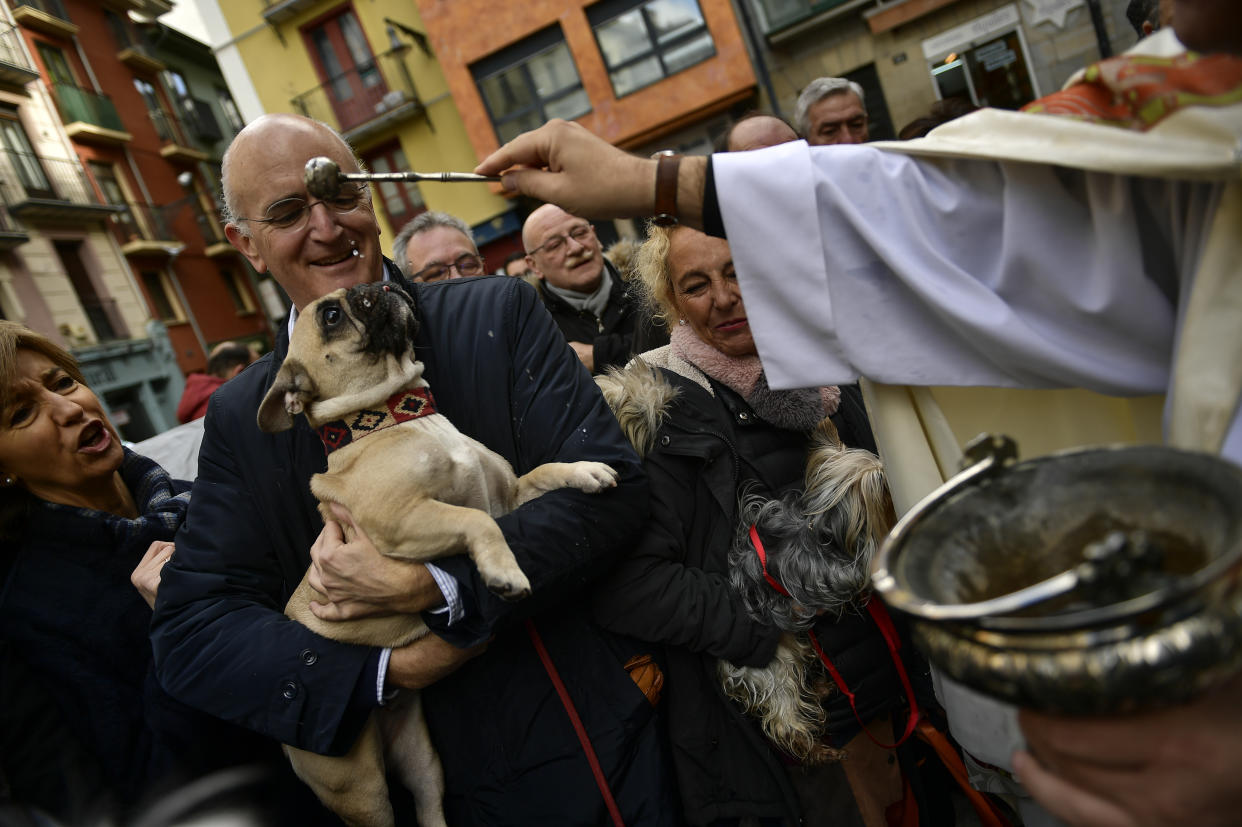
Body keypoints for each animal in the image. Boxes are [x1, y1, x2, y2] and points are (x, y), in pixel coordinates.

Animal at [259, 278, 618, 824]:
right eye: (331, 315)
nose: (376, 285)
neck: (398, 417)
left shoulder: (508, 498)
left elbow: (544, 472)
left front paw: (585, 470)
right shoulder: (407, 517)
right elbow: (473, 521)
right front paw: (503, 572)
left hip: (422, 760)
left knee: (429, 804)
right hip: (360, 788)